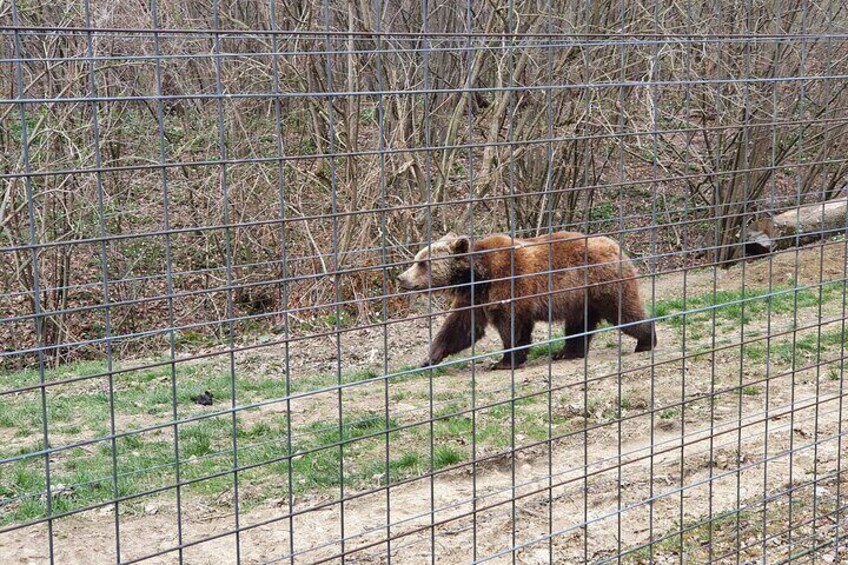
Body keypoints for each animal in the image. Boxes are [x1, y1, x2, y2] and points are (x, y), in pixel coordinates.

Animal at [397, 231, 656, 370]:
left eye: (422, 263)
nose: (401, 278)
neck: (477, 277)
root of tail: (618, 248)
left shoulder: (508, 285)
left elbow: (512, 326)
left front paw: (504, 361)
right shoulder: (474, 298)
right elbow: (460, 328)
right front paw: (429, 358)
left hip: (603, 286)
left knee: (625, 312)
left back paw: (646, 341)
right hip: (582, 298)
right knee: (578, 325)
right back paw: (566, 352)